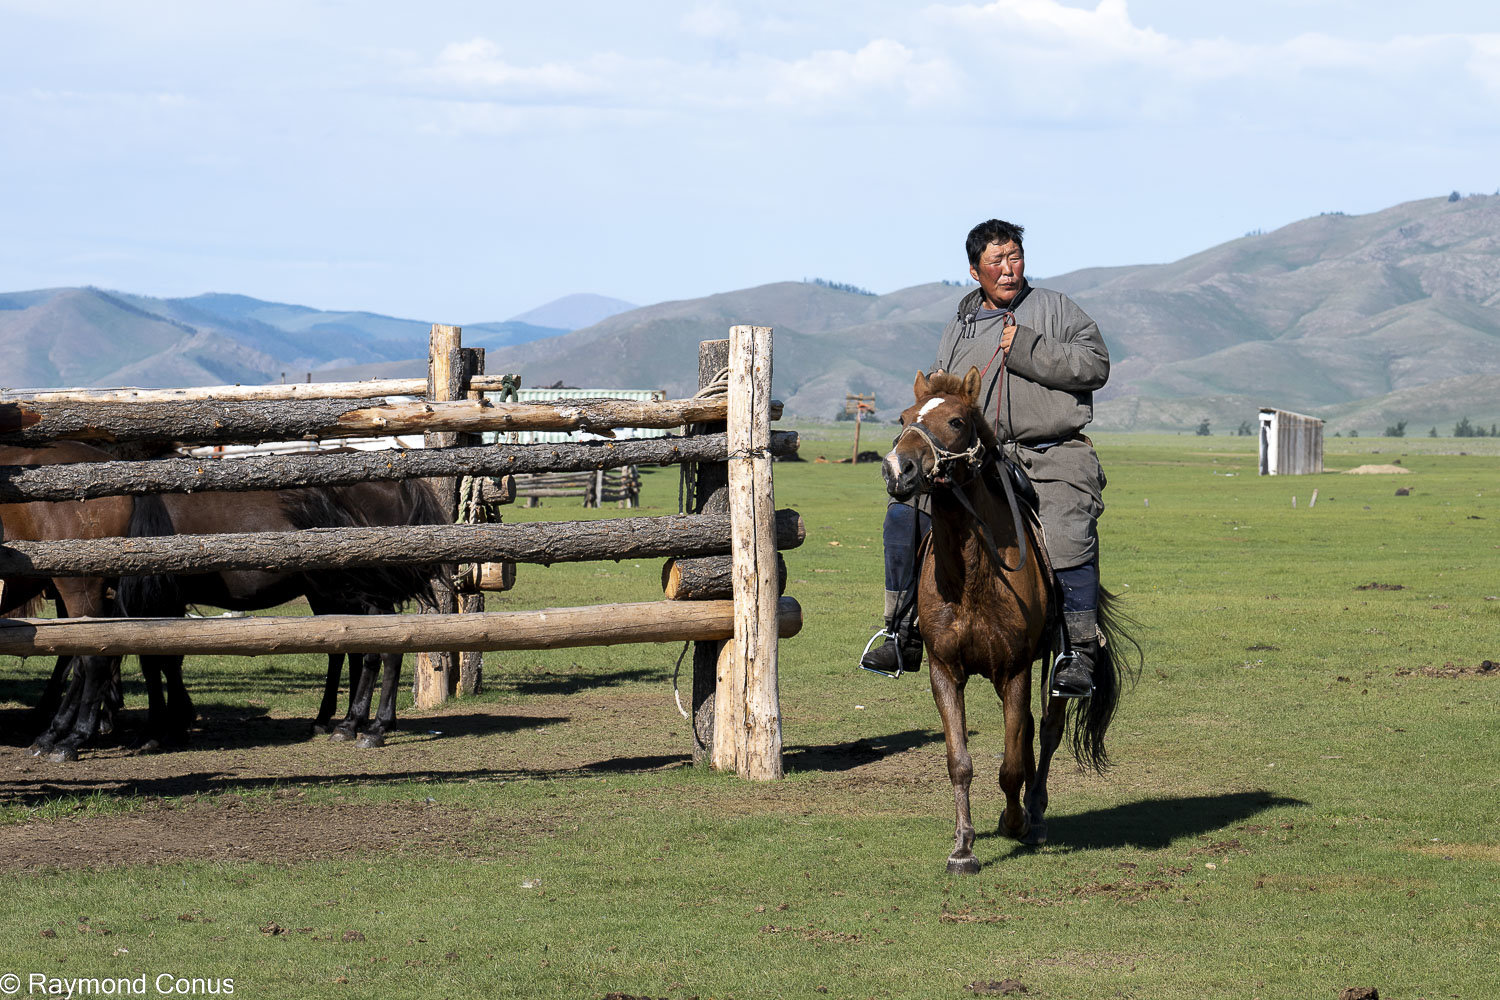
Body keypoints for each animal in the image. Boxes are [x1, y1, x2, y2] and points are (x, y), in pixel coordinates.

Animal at [882, 367, 1136, 874]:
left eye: (957, 421)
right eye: (903, 418)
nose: (898, 469)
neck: (972, 575)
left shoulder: (1014, 670)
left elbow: (1013, 764)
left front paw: (1015, 822)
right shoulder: (945, 671)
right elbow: (960, 761)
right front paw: (963, 848)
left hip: (1054, 663)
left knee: (1049, 731)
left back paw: (1034, 816)